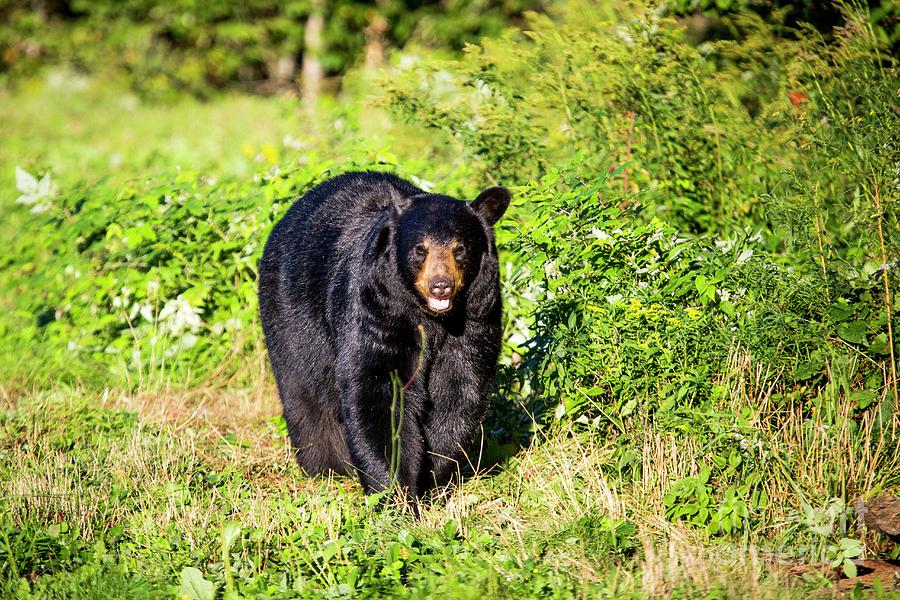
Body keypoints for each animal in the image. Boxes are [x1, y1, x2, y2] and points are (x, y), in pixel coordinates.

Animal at [256, 170, 510, 502]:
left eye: (460, 249)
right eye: (420, 249)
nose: (440, 286)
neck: (433, 320)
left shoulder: (475, 320)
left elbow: (458, 391)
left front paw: (433, 476)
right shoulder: (379, 310)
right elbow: (378, 390)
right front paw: (394, 493)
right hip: (291, 318)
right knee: (305, 394)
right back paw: (328, 466)